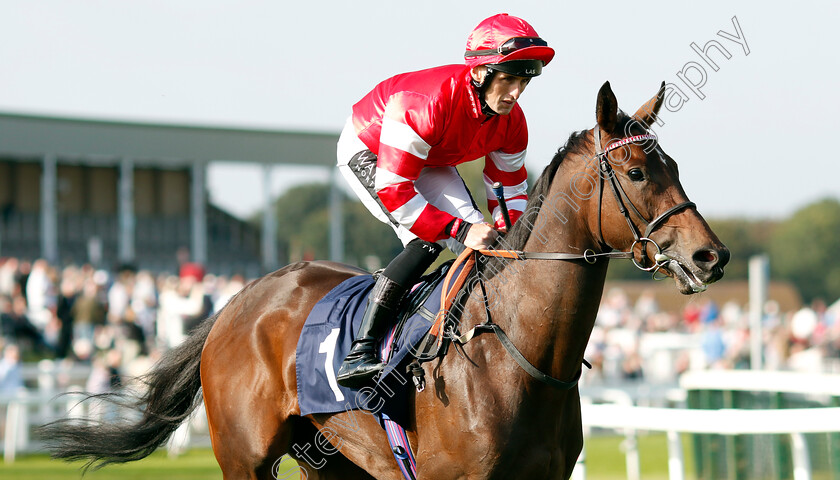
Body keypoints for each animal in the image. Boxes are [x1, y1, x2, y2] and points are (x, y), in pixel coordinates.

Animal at [42, 80, 728, 478]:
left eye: (674, 165)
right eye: (637, 172)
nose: (710, 257)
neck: (517, 354)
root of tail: (239, 299)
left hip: (330, 461)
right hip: (244, 457)